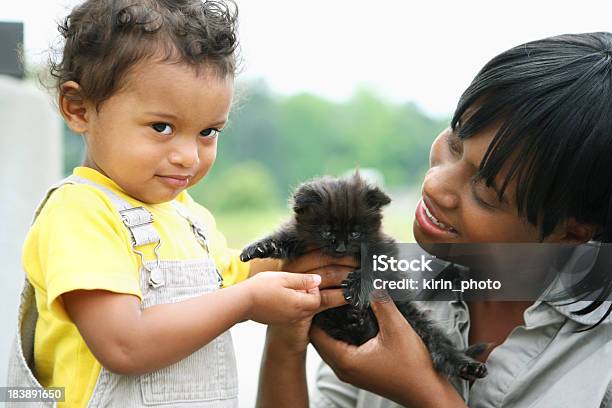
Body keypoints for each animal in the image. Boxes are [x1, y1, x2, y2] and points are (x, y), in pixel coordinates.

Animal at [239, 171, 488, 380]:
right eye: (327, 232)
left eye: (355, 233)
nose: (340, 246)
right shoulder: (298, 237)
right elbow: (282, 236)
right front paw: (260, 247)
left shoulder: (383, 247)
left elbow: (374, 264)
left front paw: (357, 286)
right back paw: (357, 322)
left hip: (414, 318)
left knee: (440, 345)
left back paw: (467, 365)